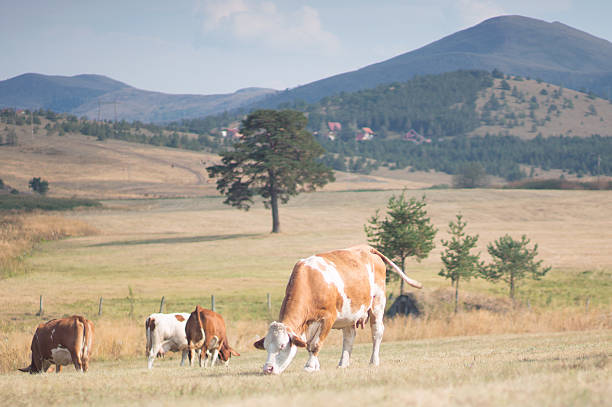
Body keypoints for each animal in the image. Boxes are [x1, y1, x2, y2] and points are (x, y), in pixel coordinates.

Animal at [253, 245, 420, 376]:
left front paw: (309, 366)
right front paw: (315, 365)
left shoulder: (328, 318)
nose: (267, 369)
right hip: (350, 315)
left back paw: (373, 361)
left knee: (377, 332)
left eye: (282, 346)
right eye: (266, 347)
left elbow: (315, 344)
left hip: (378, 303)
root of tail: (367, 248)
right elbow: (309, 344)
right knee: (349, 337)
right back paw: (343, 363)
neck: (311, 282)